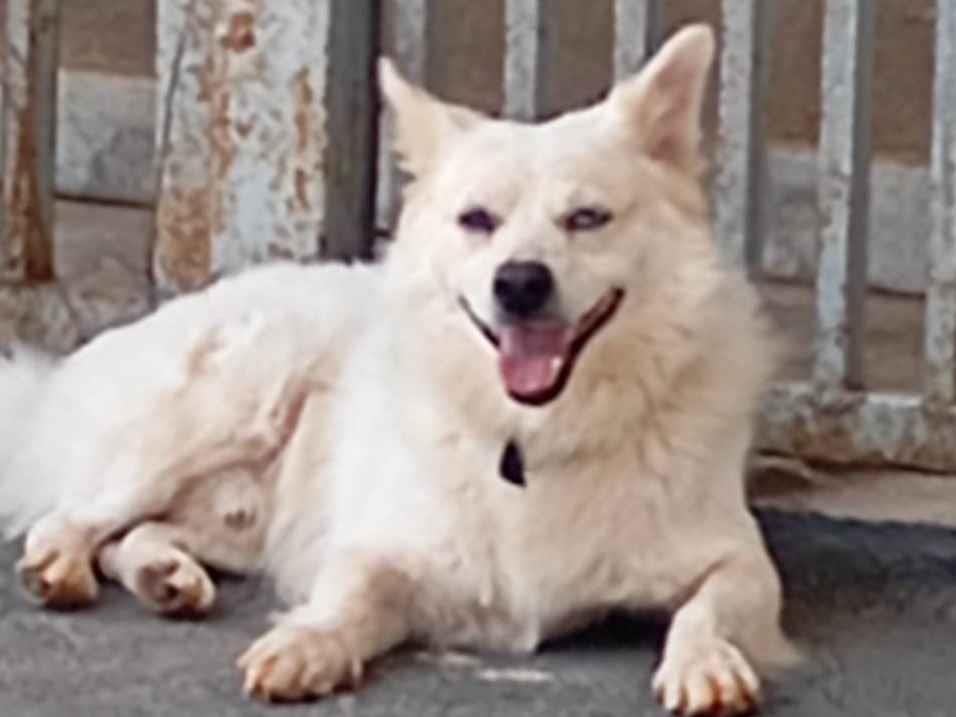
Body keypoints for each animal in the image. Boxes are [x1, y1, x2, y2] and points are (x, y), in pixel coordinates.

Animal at [0, 24, 794, 715]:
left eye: (587, 218)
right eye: (477, 220)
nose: (519, 283)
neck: (533, 437)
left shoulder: (740, 561)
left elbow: (705, 609)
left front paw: (705, 662)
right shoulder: (381, 547)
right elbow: (349, 595)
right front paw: (308, 643)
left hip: (240, 518)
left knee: (135, 535)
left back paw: (166, 577)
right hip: (232, 403)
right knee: (72, 518)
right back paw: (65, 567)